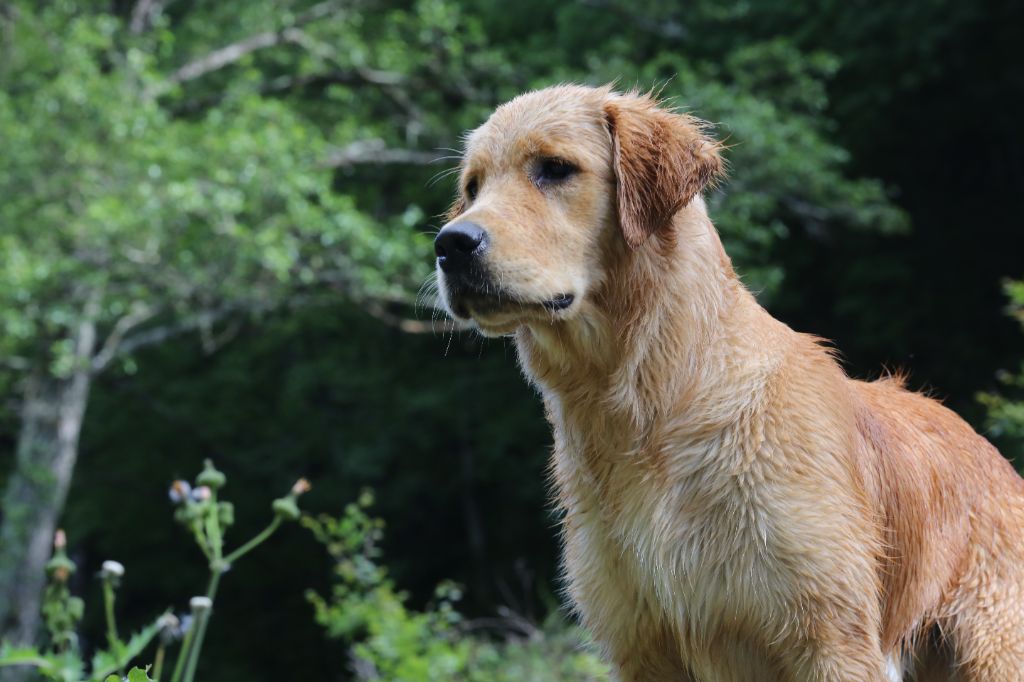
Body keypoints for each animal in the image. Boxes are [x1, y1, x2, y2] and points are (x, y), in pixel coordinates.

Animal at [432, 86, 1024, 679]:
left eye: (554, 168)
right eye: (473, 186)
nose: (450, 243)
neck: (650, 407)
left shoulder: (831, 639)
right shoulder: (641, 644)